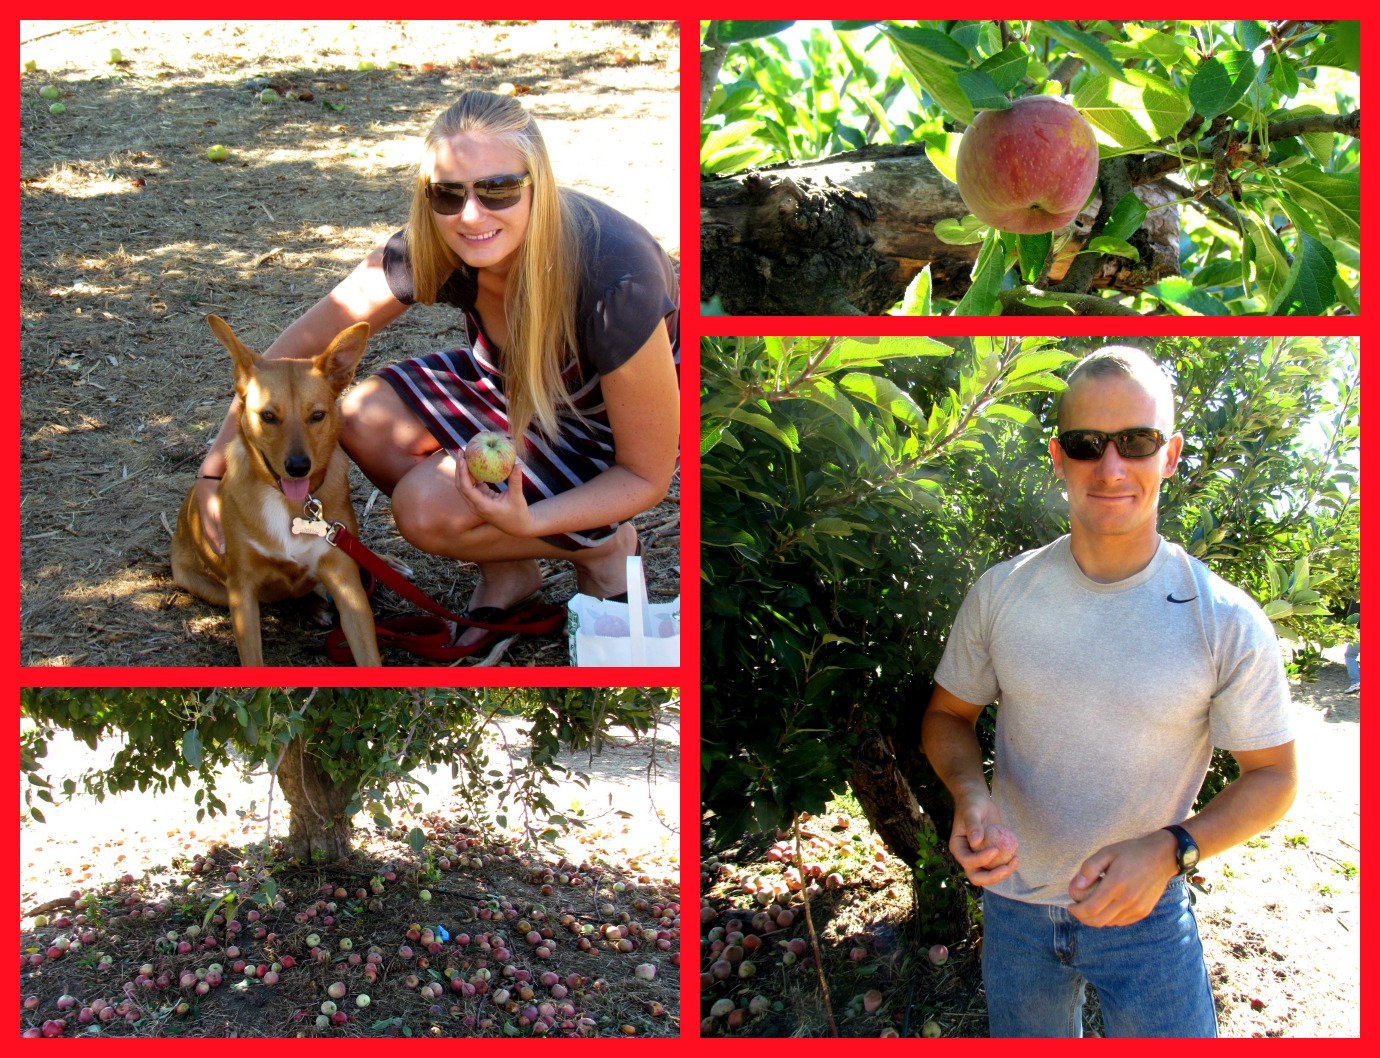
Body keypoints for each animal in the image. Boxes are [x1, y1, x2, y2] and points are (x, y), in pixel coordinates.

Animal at [175, 314, 386, 667]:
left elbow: (369, 657)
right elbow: (253, 660)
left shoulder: (345, 580)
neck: (287, 504)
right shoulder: (242, 589)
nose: (298, 466)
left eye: (317, 415)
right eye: (268, 416)